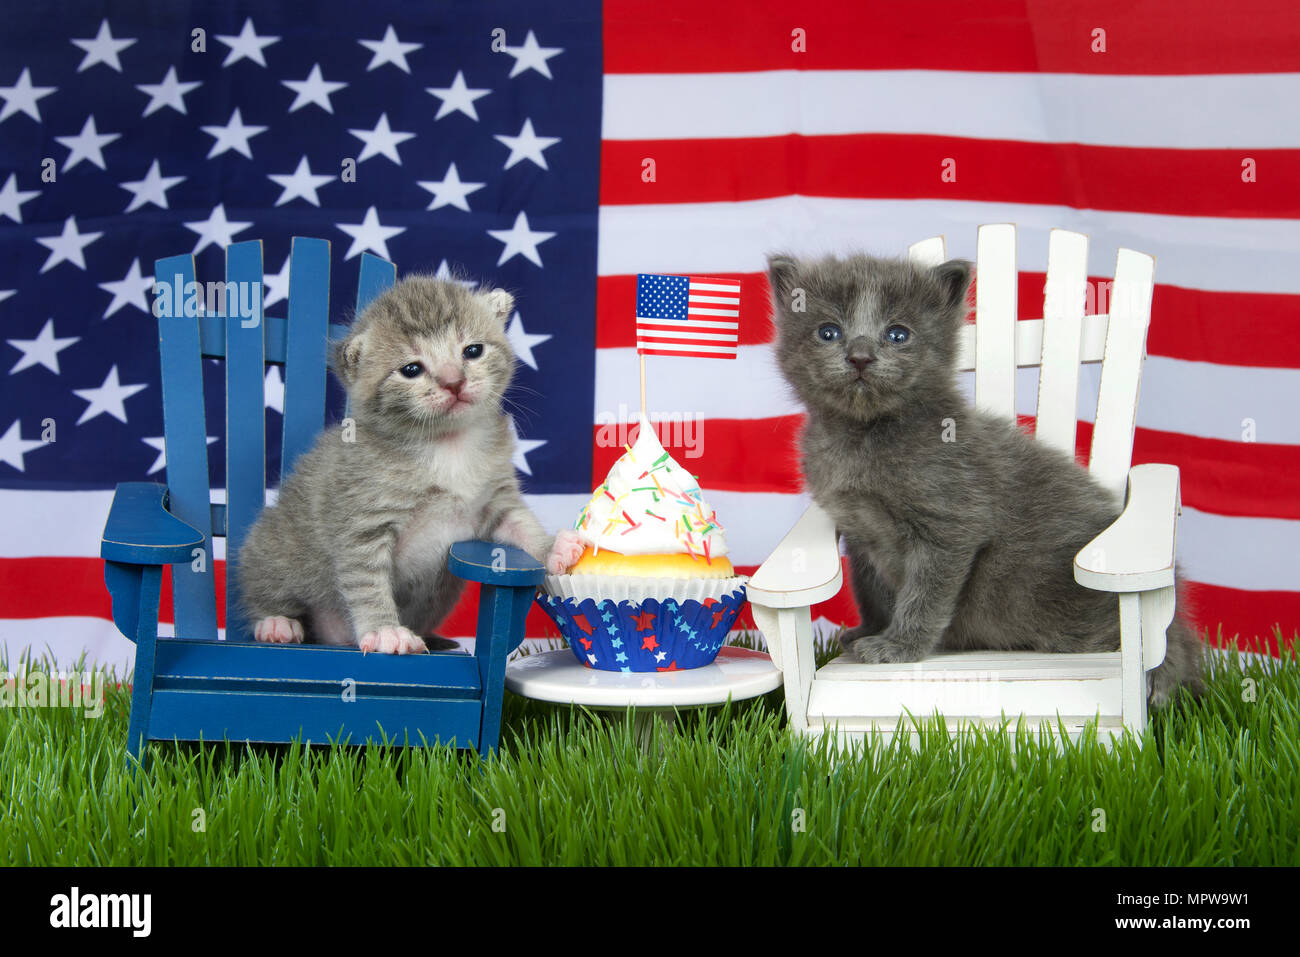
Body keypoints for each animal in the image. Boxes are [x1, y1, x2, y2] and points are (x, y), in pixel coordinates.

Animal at [239, 273, 574, 655]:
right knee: (265, 591)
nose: (454, 381)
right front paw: (385, 629)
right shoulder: (363, 522)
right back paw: (276, 622)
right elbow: (366, 581)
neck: (446, 445)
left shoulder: (495, 501)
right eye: (411, 369)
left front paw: (553, 547)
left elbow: (521, 527)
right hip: (271, 549)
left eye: (472, 351)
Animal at [764, 250, 1201, 707]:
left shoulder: (952, 521)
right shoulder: (859, 530)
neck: (865, 433)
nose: (860, 356)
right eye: (827, 332)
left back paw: (1165, 676)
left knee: (1163, 642)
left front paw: (899, 646)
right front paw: (870, 630)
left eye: (898, 334)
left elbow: (925, 593)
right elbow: (870, 591)